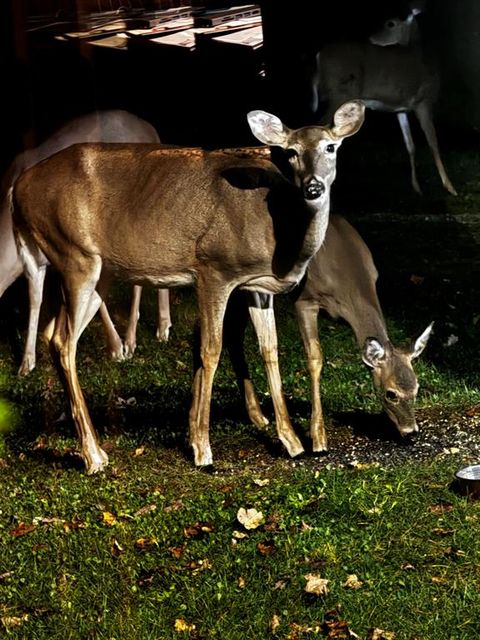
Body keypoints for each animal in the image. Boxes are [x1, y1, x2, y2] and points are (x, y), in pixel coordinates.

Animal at [0, 109, 172, 376]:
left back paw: (138, 336)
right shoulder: (38, 261)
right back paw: (159, 327)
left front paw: (116, 348)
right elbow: (36, 298)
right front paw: (27, 362)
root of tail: (151, 130)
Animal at [223, 214, 434, 450]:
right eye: (391, 394)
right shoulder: (304, 301)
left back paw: (256, 416)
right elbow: (315, 358)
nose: (411, 431)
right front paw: (318, 438)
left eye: (417, 388)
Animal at [312, 0, 458, 196]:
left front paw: (416, 187)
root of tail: (319, 55)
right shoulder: (423, 102)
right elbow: (433, 142)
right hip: (339, 93)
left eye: (390, 23)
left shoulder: (401, 109)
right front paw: (450, 187)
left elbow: (410, 145)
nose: (371, 38)